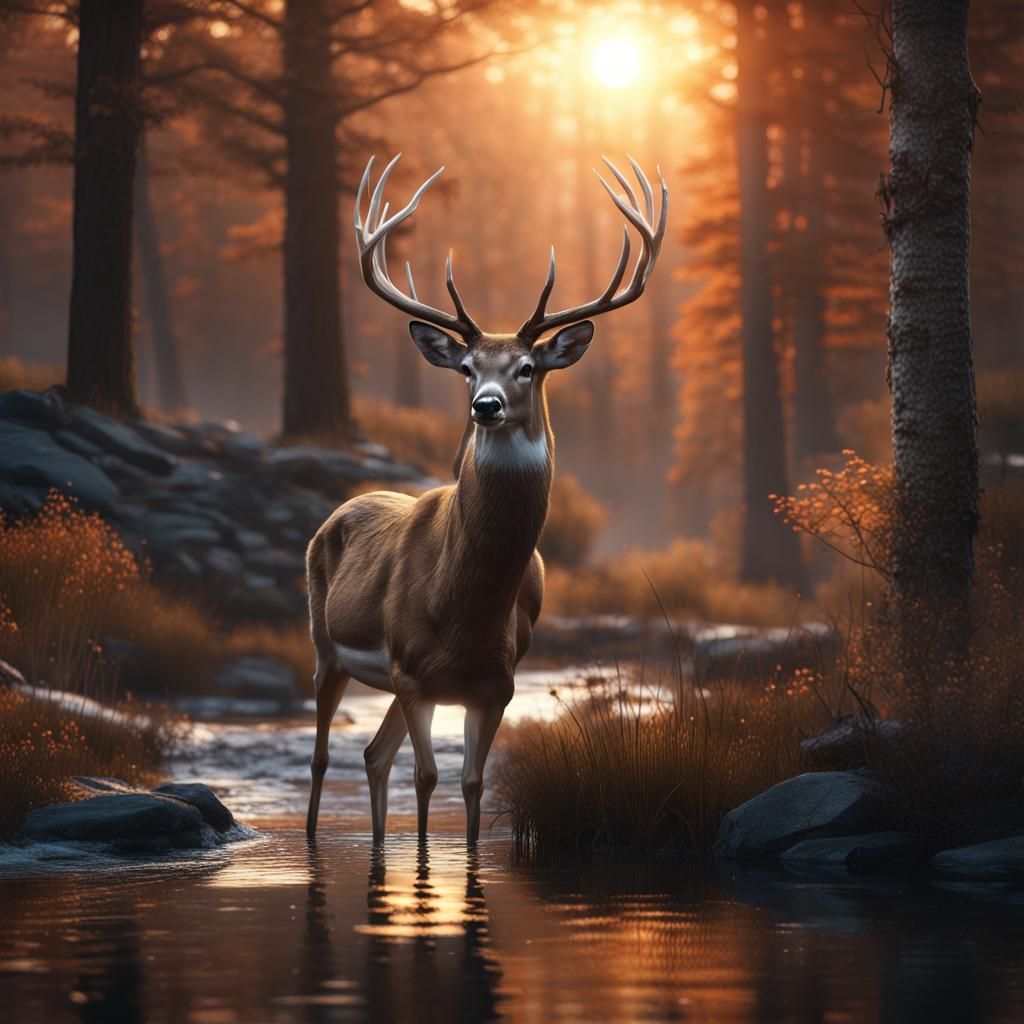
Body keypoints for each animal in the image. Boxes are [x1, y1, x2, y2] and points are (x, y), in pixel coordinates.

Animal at [305, 153, 667, 845]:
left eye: (527, 367)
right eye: (468, 368)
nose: (486, 405)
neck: (463, 610)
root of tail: (336, 513)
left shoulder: (495, 684)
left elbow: (472, 786)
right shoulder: (413, 672)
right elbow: (428, 779)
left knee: (373, 753)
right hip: (325, 645)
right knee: (322, 758)